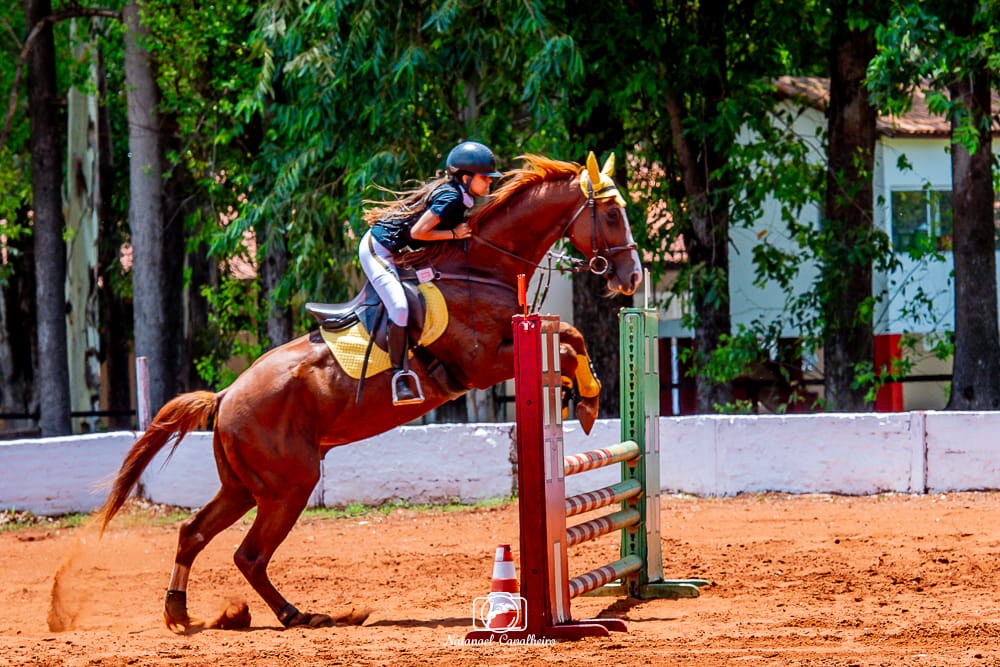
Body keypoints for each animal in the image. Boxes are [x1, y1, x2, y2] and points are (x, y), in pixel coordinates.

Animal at [94, 153, 640, 632]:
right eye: (612, 213)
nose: (632, 276)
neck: (481, 268)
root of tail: (226, 396)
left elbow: (571, 337)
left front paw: (582, 396)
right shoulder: (482, 363)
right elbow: (567, 341)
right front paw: (588, 400)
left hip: (245, 487)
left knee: (195, 533)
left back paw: (183, 613)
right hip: (287, 485)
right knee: (248, 554)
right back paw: (297, 616)